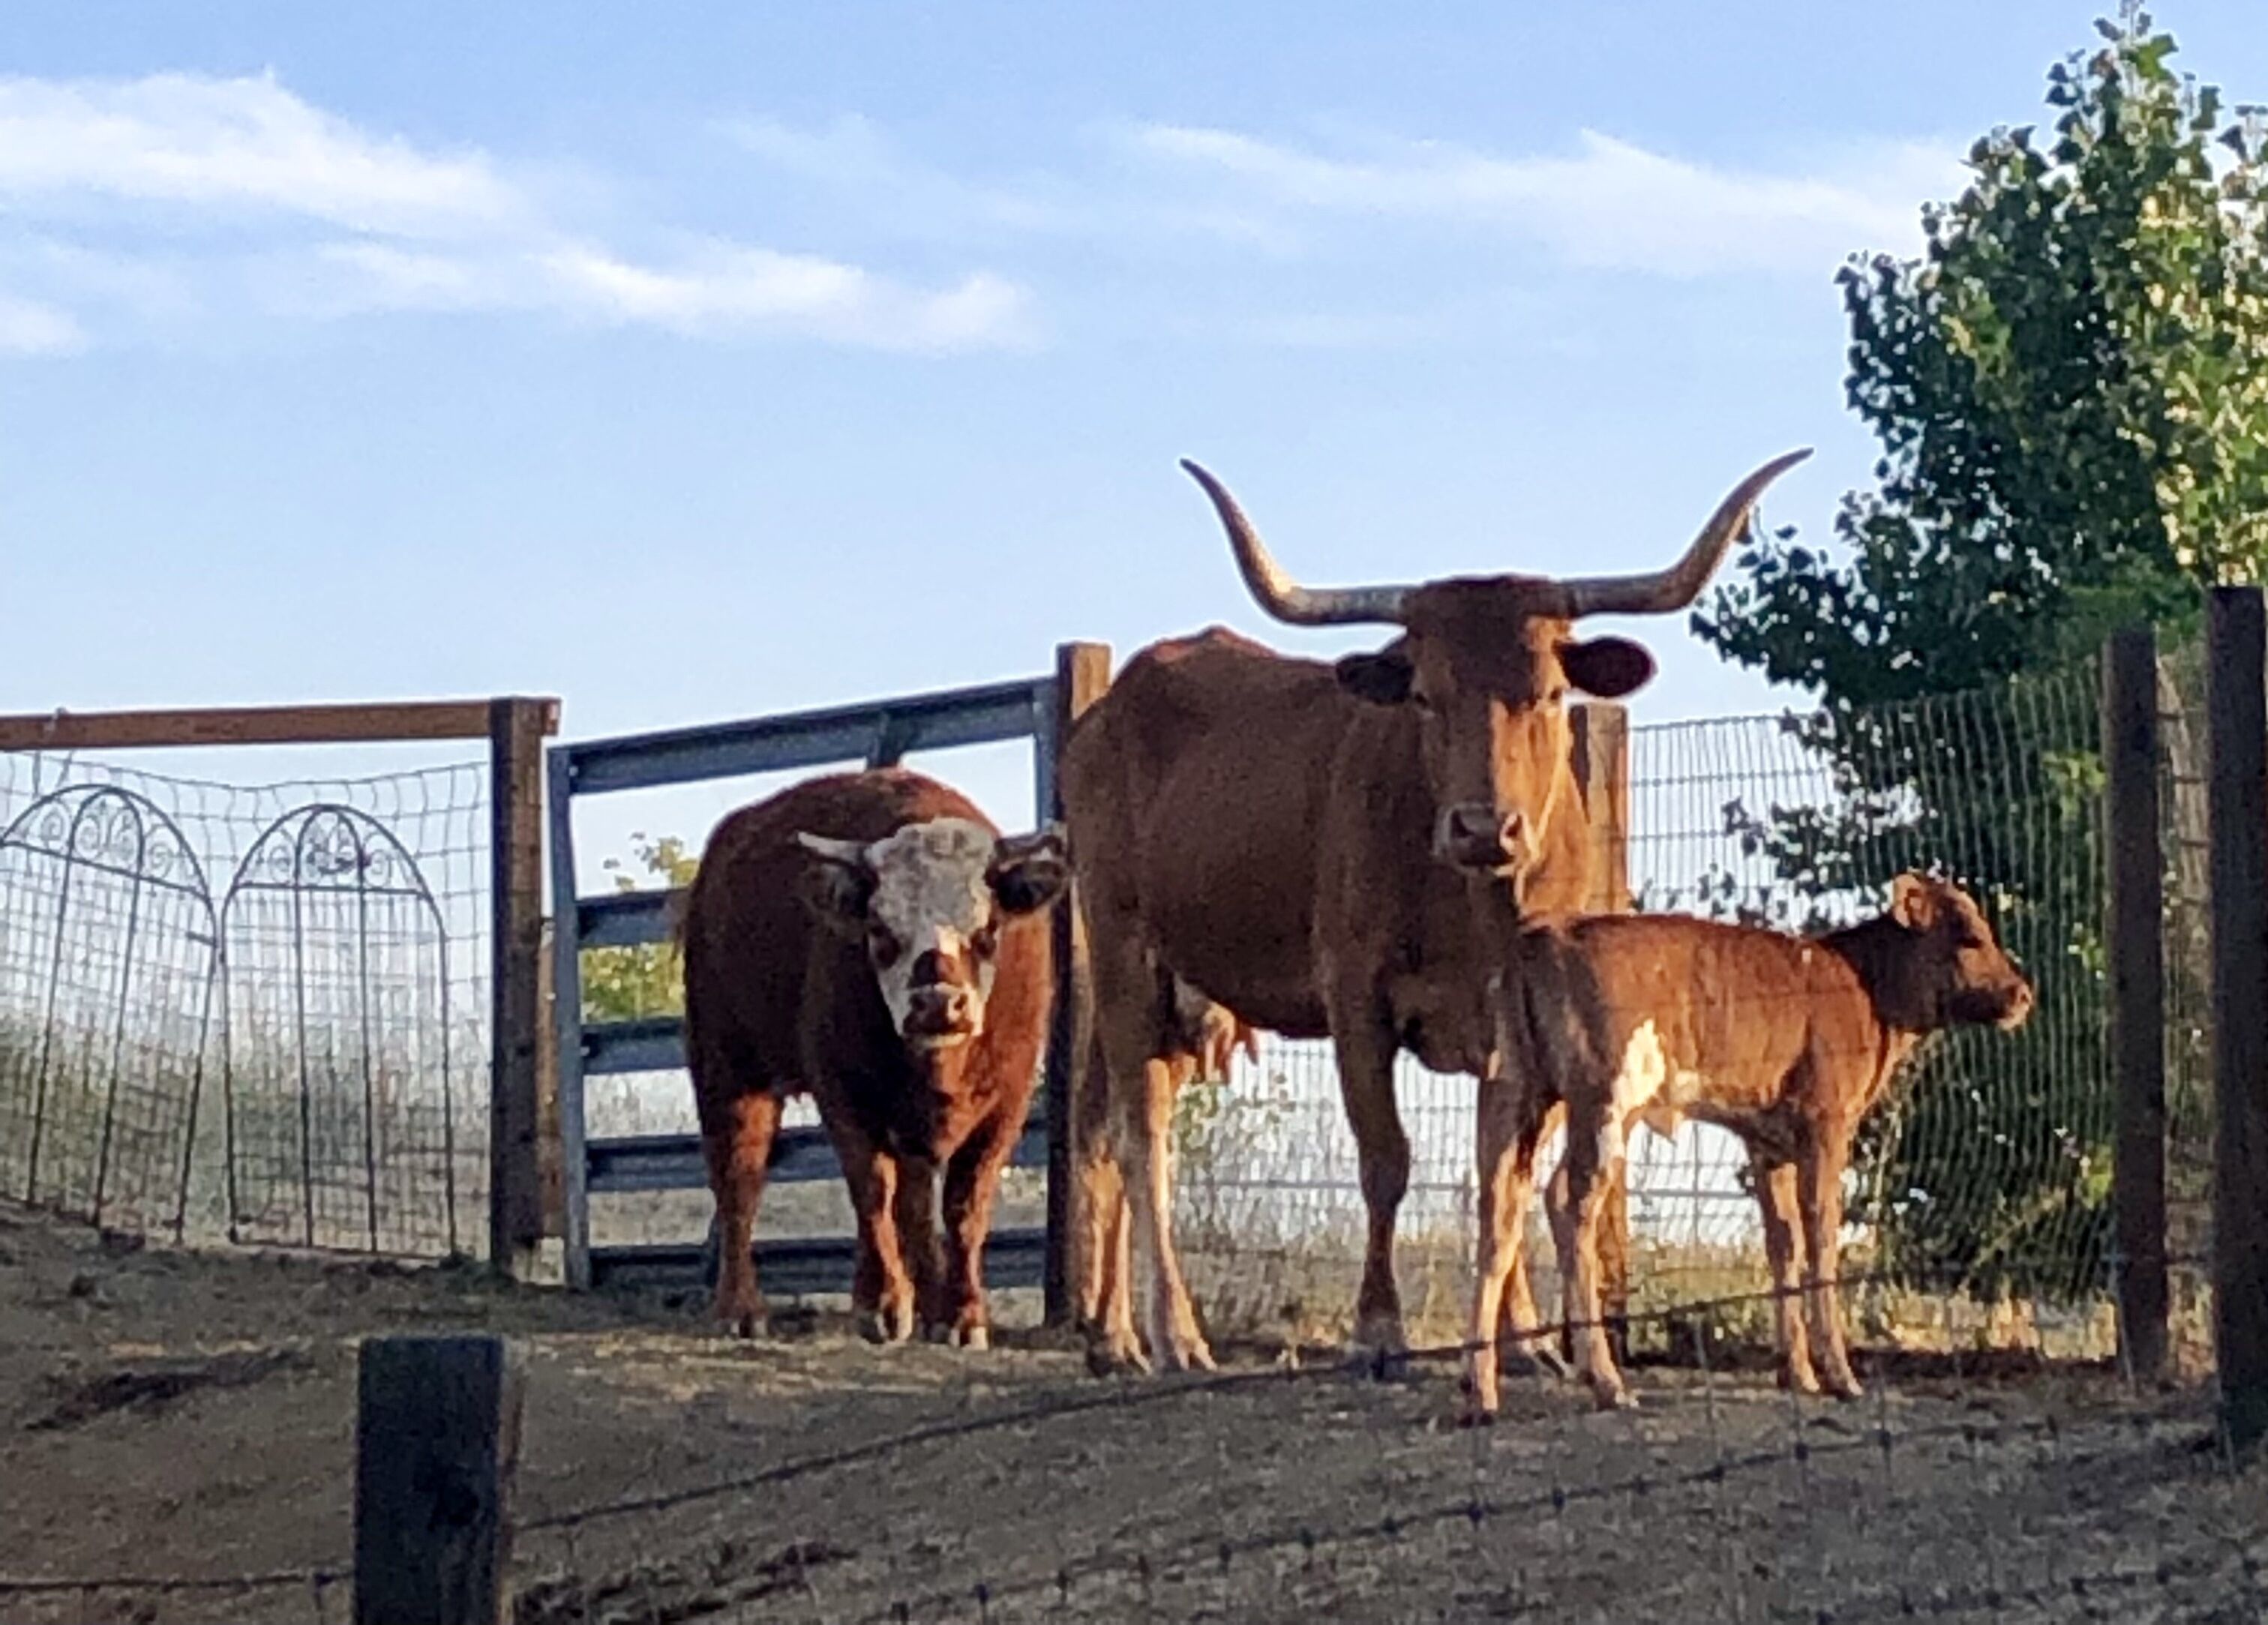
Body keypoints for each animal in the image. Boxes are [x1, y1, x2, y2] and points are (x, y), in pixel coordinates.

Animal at [679, 768, 1069, 1347]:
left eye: (987, 931)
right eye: (881, 932)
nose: (937, 1004)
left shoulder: (1009, 1097)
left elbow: (964, 1205)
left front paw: (962, 1315)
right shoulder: (843, 1089)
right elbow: (872, 1190)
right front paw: (883, 1304)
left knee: (913, 1201)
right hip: (726, 1066)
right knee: (738, 1180)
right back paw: (741, 1307)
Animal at [1059, 449, 1810, 1373]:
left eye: (1551, 692)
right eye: (1425, 695)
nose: (1484, 826)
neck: (1472, 912)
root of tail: (1108, 707)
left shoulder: (1520, 1029)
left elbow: (1504, 1176)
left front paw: (1522, 1339)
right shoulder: (1355, 999)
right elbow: (1386, 1158)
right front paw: (1378, 1328)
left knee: (1101, 1132)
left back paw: (1114, 1336)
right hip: (1122, 949)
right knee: (1143, 1135)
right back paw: (1176, 1333)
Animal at [1466, 871, 2034, 1419]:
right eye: (1969, 936)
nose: (2022, 994)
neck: (1864, 986)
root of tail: (1546, 933)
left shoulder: (1768, 1144)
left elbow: (1783, 1241)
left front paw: (1798, 1372)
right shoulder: (1825, 1127)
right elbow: (1821, 1238)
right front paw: (1840, 1376)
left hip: (1516, 1091)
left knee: (1500, 1211)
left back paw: (1480, 1389)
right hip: (1606, 1101)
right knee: (1568, 1199)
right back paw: (1606, 1381)